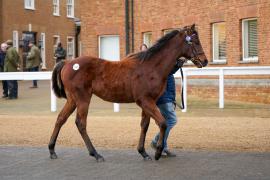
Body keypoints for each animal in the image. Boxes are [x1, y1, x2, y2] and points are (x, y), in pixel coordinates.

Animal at [49, 23, 208, 162]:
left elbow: (145, 125)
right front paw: (157, 152)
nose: (205, 61)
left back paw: (52, 150)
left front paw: (143, 152)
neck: (151, 67)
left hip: (72, 99)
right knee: (80, 123)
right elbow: (162, 123)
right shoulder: (145, 101)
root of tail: (67, 63)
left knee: (61, 118)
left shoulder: (149, 102)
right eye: (194, 41)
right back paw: (96, 154)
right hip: (83, 98)